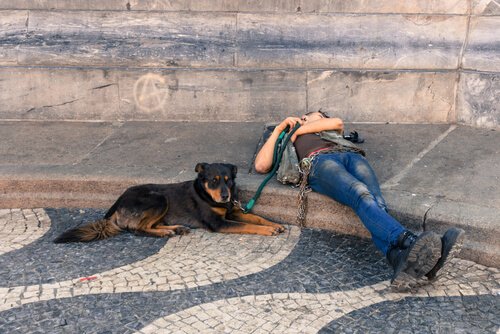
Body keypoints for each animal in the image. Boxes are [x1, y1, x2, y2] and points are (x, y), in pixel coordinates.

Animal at [54, 162, 286, 243]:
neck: (205, 193)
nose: (225, 196)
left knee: (150, 225)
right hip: (158, 198)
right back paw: (165, 232)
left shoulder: (232, 211)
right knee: (137, 229)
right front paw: (268, 231)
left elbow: (256, 217)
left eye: (229, 180)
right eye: (213, 180)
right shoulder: (219, 223)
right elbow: (247, 224)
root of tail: (117, 203)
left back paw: (175, 228)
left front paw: (275, 224)